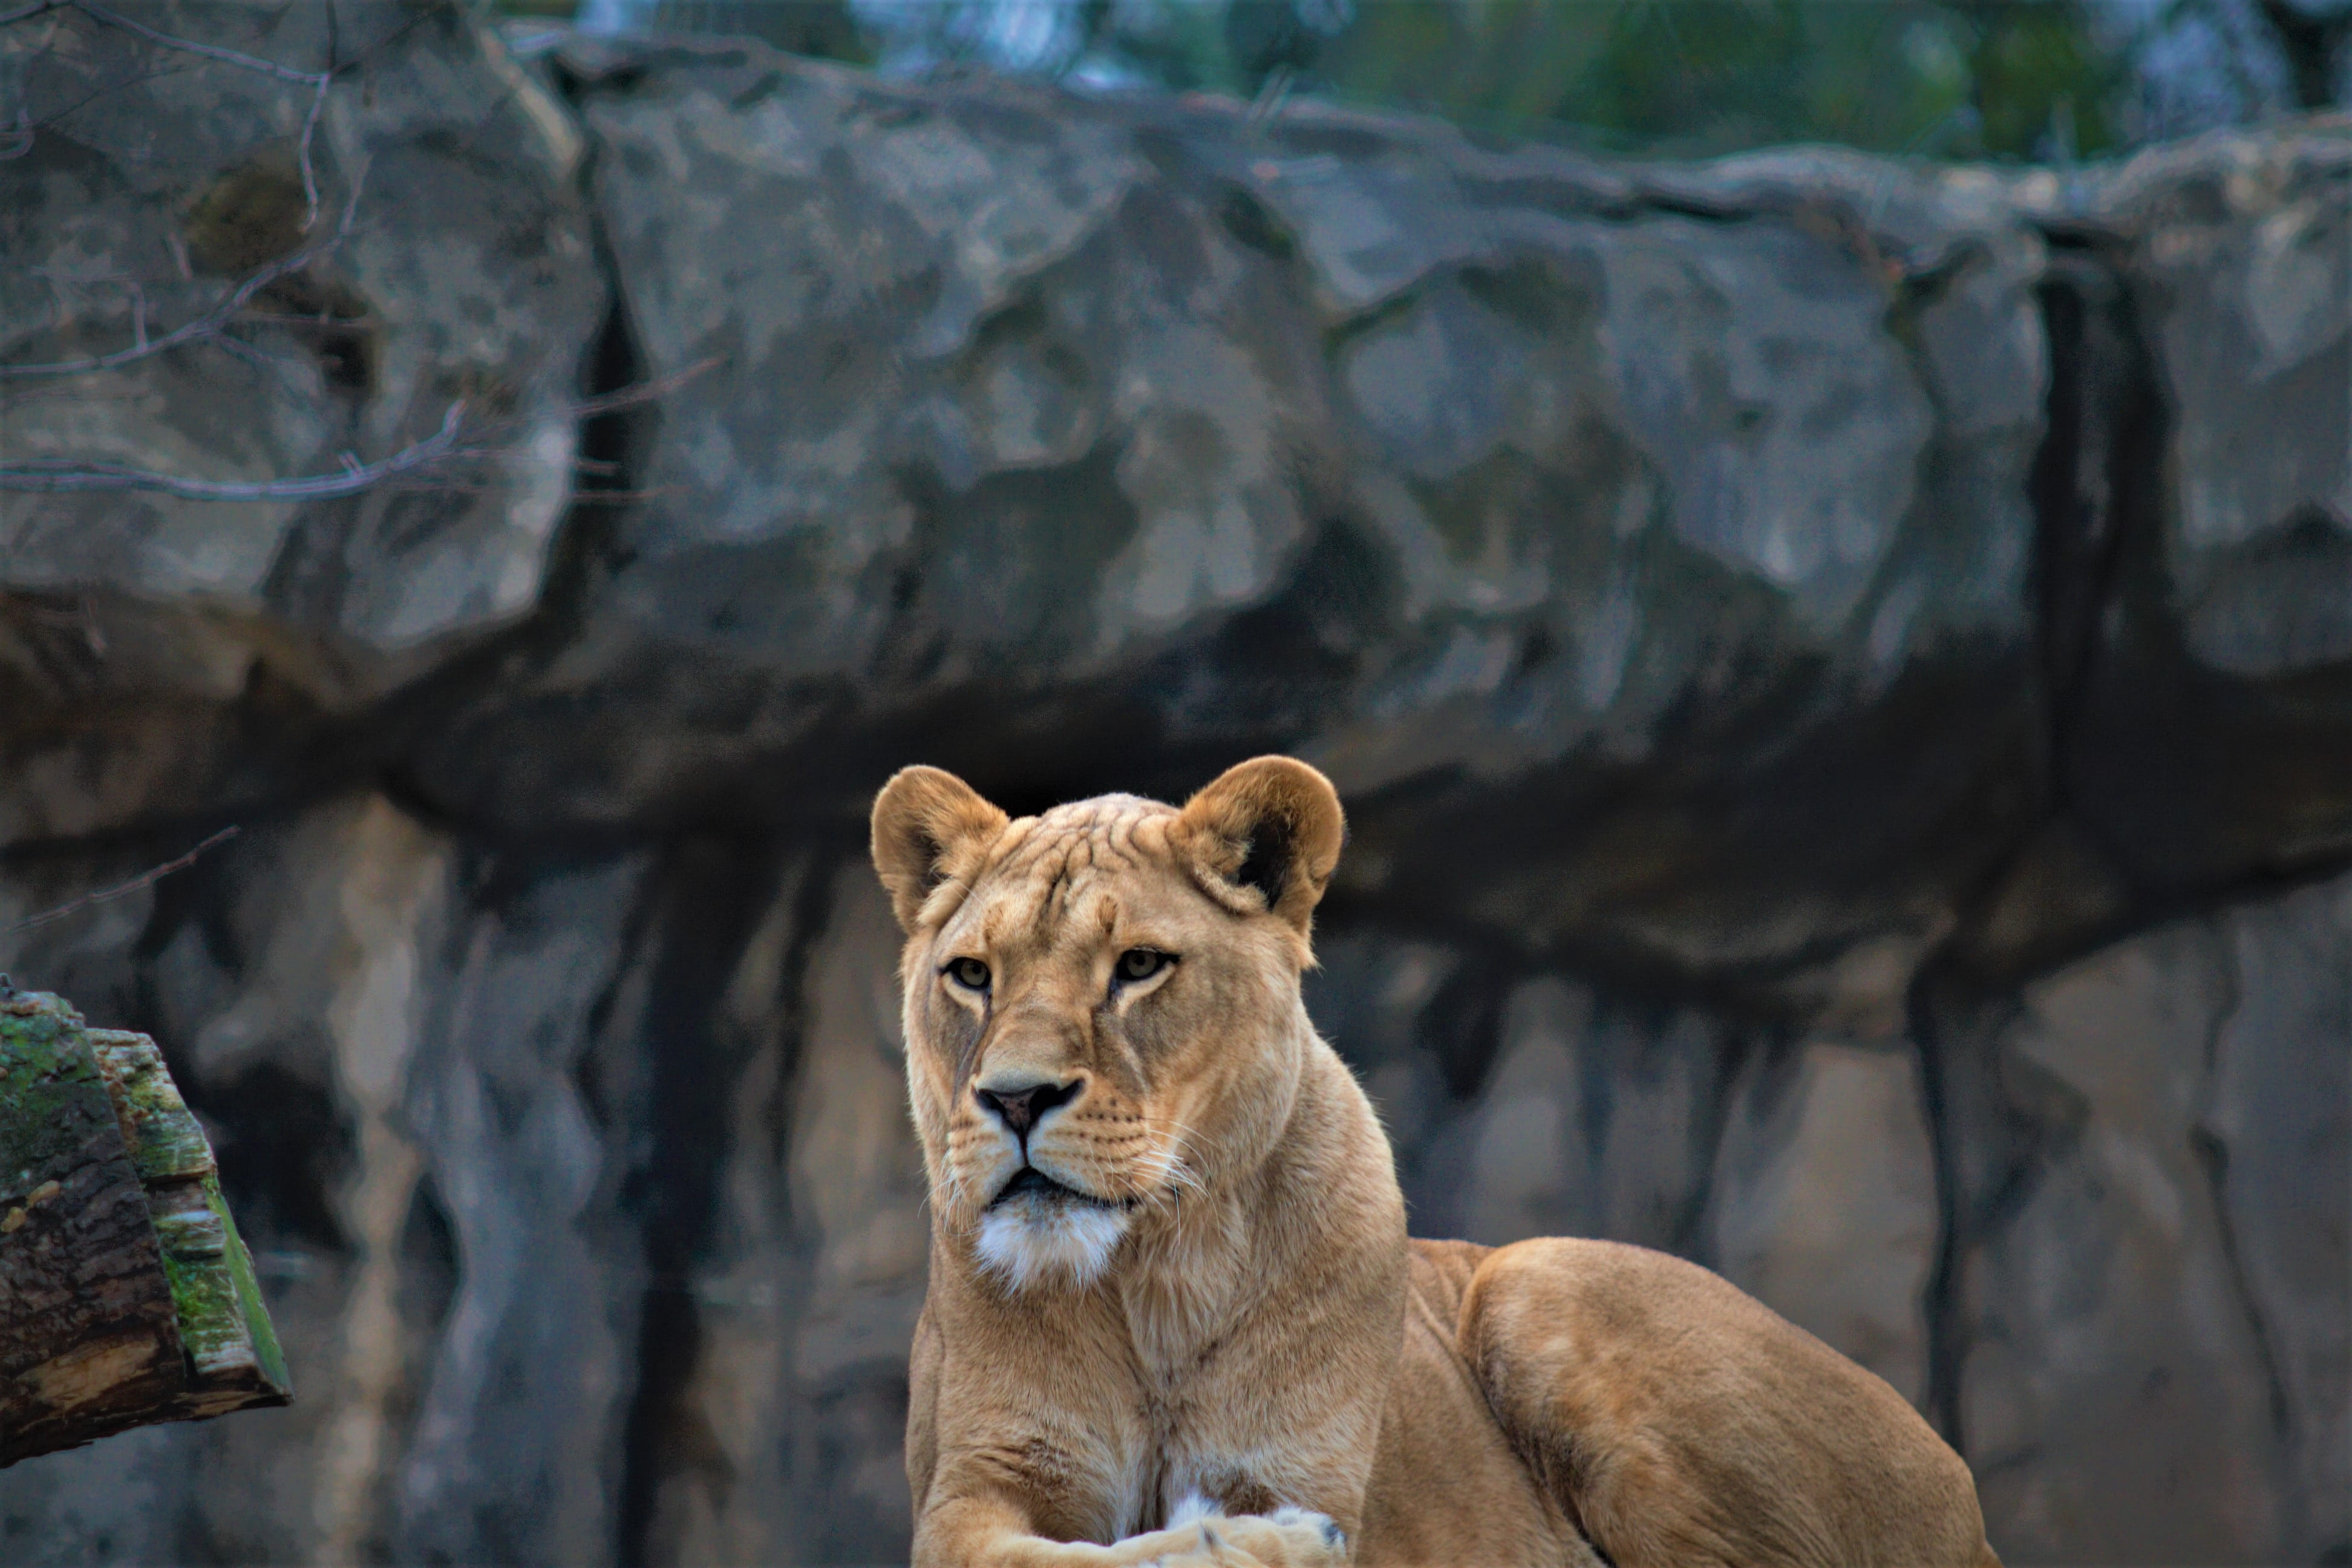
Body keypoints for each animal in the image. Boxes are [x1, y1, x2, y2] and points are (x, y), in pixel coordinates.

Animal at [870, 756, 2000, 1568]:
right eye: (971, 975)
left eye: (1139, 965)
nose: (1015, 1098)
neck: (1155, 1282)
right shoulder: (978, 1487)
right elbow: (1055, 1557)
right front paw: (1246, 1542)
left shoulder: (1309, 1466)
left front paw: (1271, 1538)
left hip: (1537, 1272)